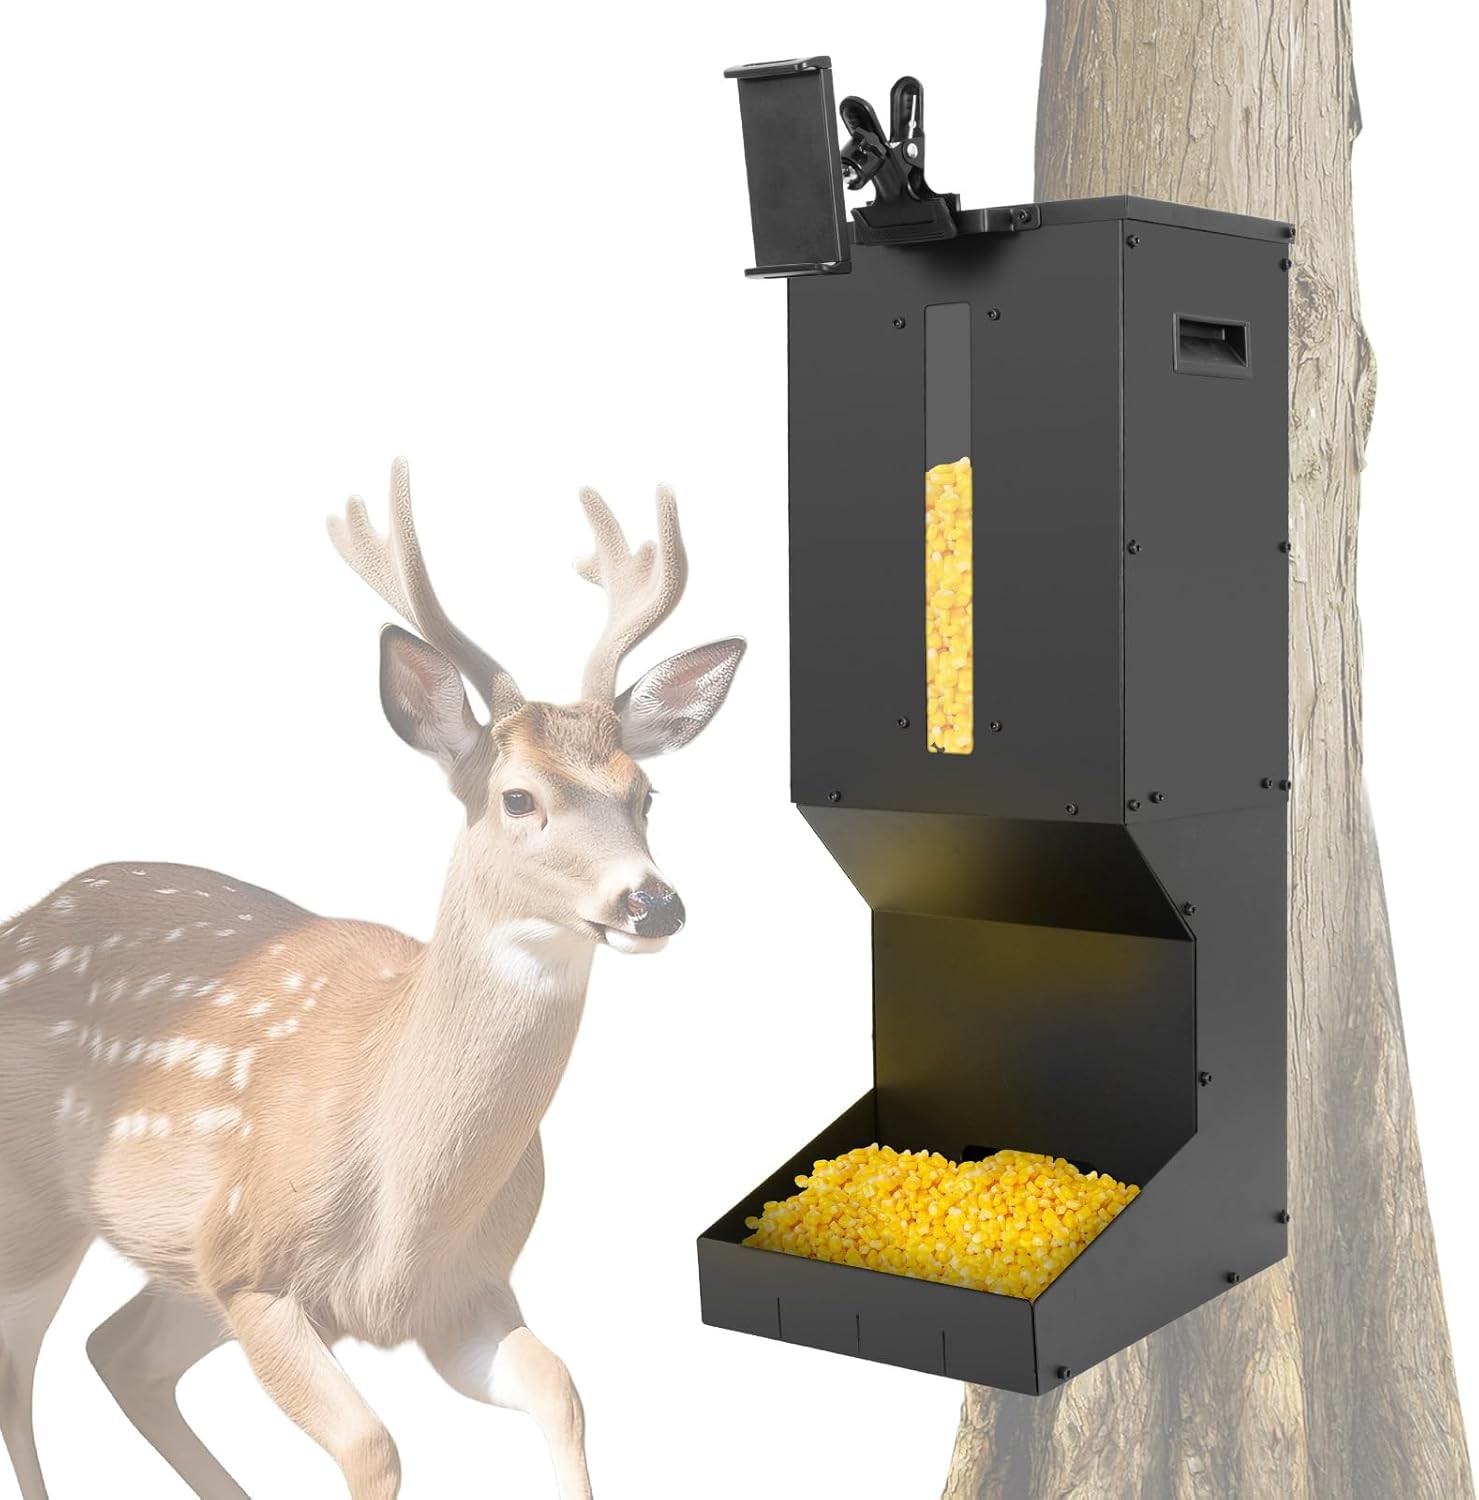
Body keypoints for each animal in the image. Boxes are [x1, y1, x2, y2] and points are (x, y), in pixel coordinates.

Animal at [0, 458, 745, 1500]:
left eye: (646, 793)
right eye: (518, 797)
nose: (652, 903)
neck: (400, 1216)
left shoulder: (463, 1293)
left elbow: (562, 1390)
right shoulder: (251, 1262)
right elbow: (374, 1446)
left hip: (172, 1266)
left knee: (118, 1351)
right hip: (36, 1210)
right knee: (21, 1371)